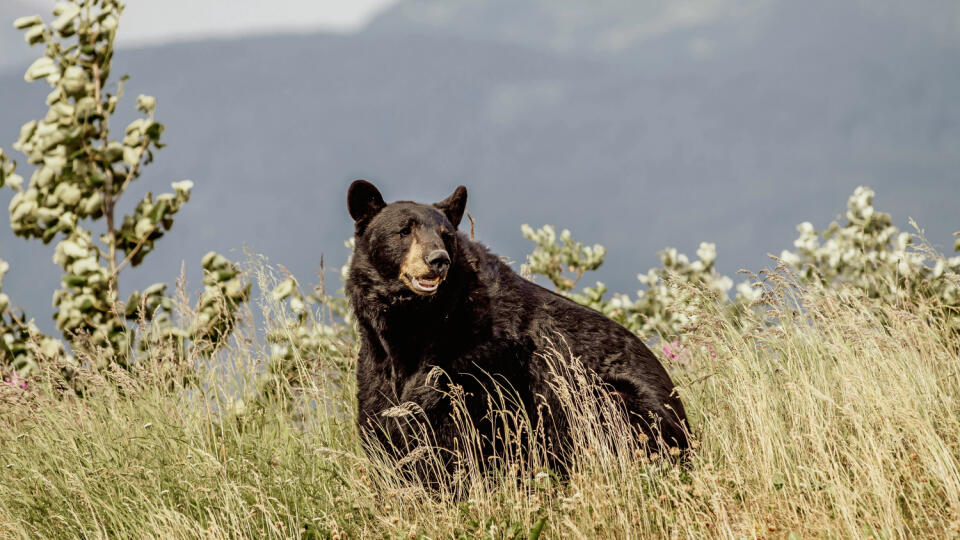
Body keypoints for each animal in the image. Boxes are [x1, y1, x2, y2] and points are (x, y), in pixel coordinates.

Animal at [344, 179, 688, 474]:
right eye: (404, 231)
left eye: (446, 235)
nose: (438, 259)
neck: (414, 324)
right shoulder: (377, 361)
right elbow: (382, 420)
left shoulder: (479, 361)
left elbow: (460, 428)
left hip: (612, 398)